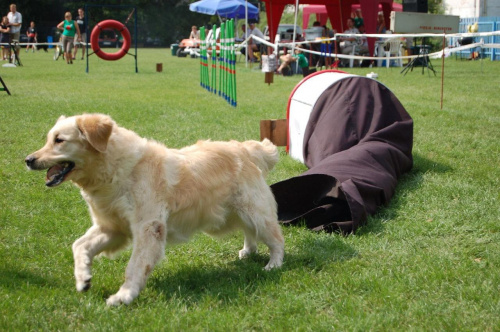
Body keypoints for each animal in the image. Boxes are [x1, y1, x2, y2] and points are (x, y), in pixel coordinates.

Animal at [25, 114, 286, 306]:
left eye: (59, 140)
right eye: (48, 139)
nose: (28, 160)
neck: (116, 169)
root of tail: (245, 148)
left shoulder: (148, 227)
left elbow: (135, 265)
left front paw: (123, 296)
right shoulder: (112, 228)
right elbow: (79, 245)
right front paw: (83, 279)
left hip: (255, 211)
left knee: (276, 238)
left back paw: (273, 265)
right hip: (234, 214)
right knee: (249, 232)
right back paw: (248, 251)